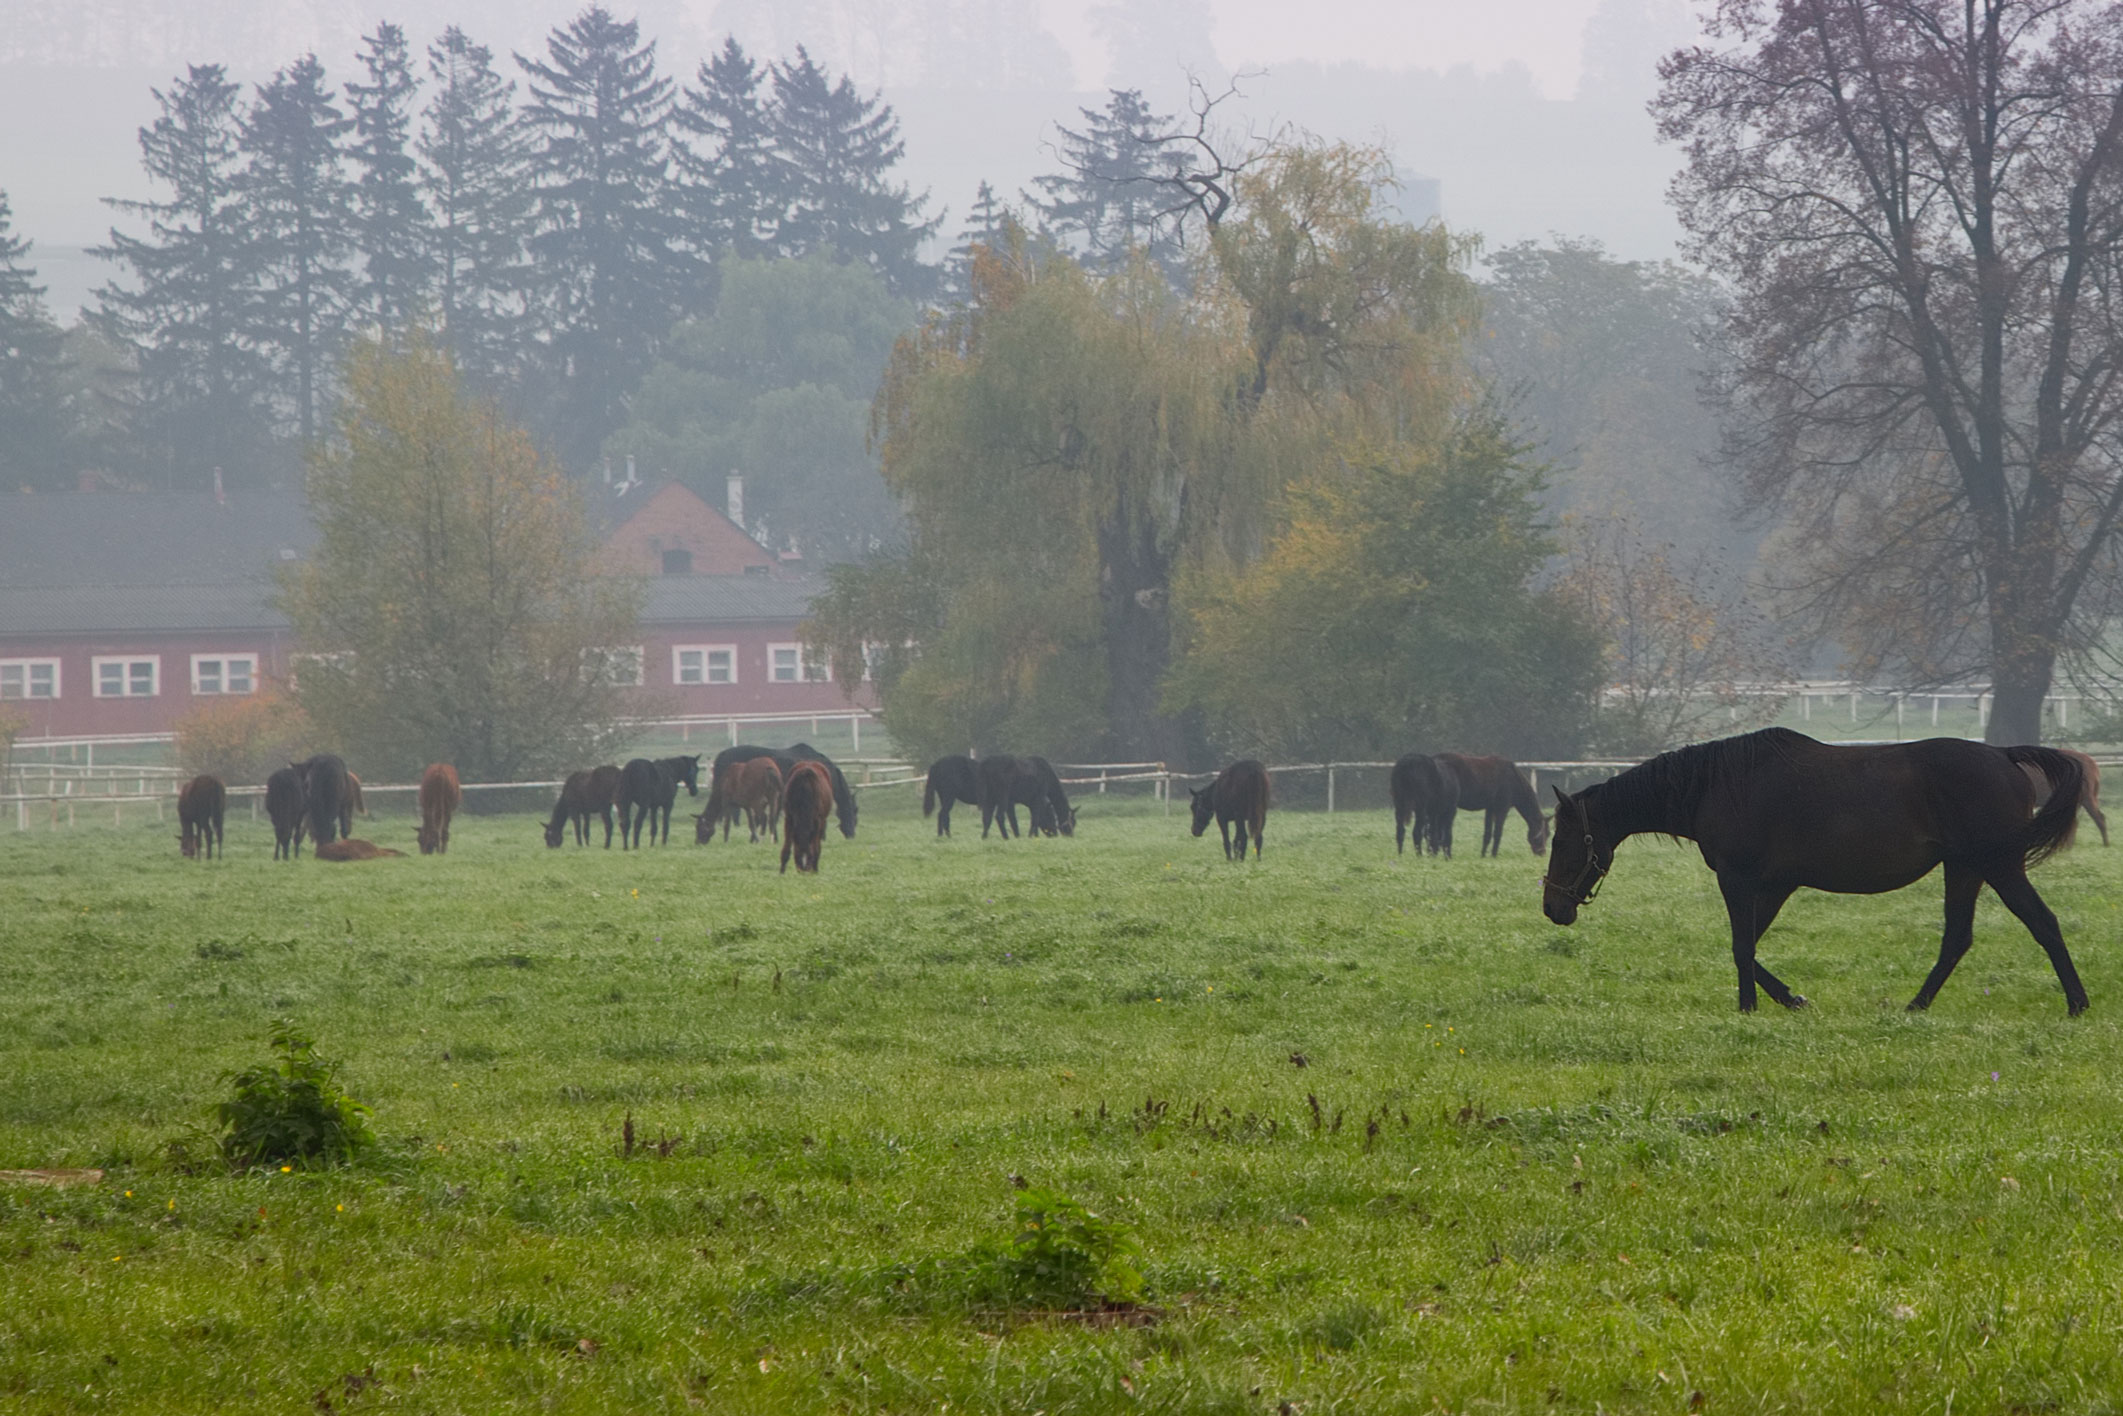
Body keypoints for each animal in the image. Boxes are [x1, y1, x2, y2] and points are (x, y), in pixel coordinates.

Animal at [1545, 730, 2089, 1019]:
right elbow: (1750, 946)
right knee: (1958, 937)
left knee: (2043, 923)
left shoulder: (1739, 879)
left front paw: (1749, 1007)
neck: (1718, 785)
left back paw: (2077, 1003)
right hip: (1964, 868)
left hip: (1998, 865)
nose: (1552, 907)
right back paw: (1917, 1004)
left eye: (1561, 841)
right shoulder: (1775, 884)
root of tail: (2003, 754)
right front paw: (1790, 998)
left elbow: (1741, 947)